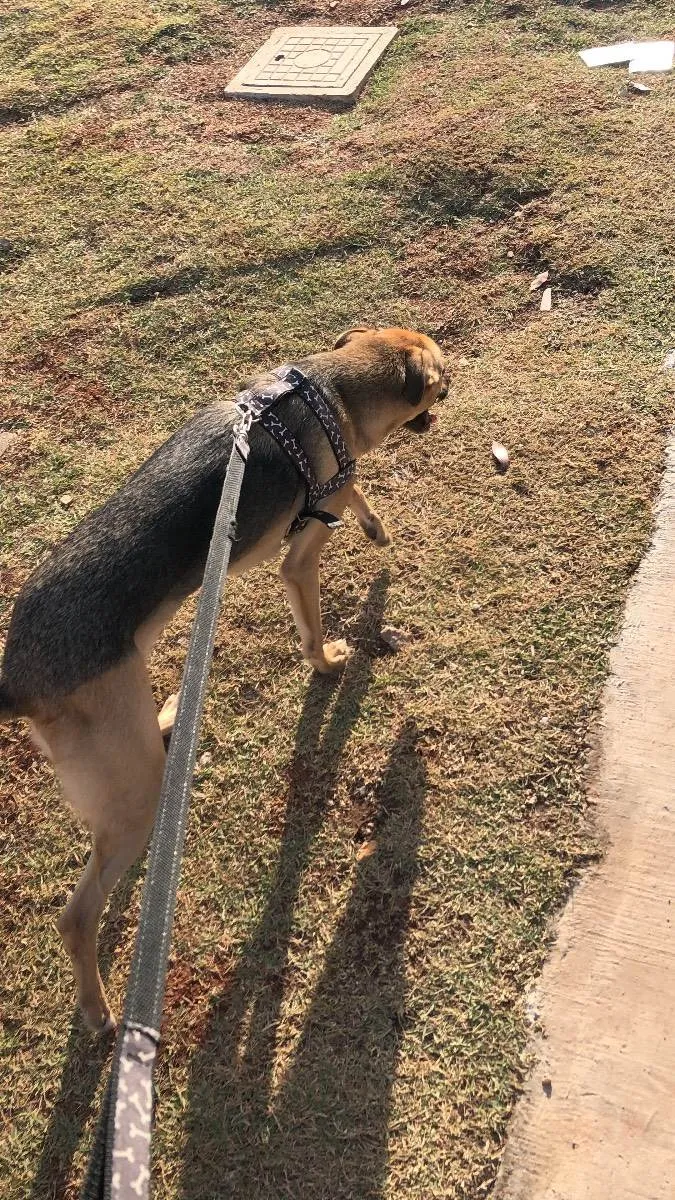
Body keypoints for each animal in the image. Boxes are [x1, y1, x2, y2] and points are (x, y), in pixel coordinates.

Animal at [0, 326, 444, 1032]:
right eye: (440, 378)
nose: (450, 391)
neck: (330, 390)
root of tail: (16, 676)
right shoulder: (300, 558)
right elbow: (316, 625)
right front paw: (331, 660)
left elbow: (358, 492)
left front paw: (376, 526)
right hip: (134, 798)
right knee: (76, 917)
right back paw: (98, 1010)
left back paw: (169, 716)